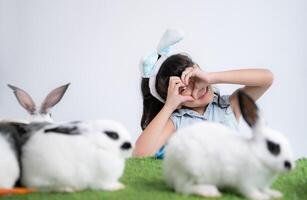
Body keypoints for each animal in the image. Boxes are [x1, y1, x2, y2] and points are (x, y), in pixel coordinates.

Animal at [164, 90, 296, 200]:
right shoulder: (246, 180)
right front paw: (262, 197)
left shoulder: (262, 184)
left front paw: (275, 194)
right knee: (183, 188)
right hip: (191, 168)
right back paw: (209, 191)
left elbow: (265, 189)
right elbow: (251, 192)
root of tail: (169, 164)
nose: (289, 165)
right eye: (272, 146)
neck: (256, 154)